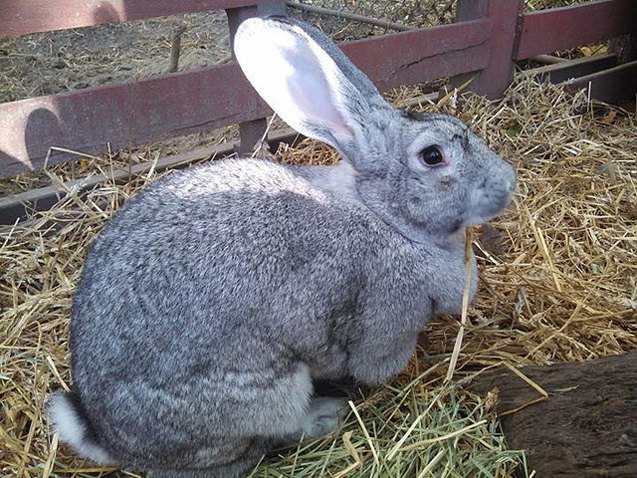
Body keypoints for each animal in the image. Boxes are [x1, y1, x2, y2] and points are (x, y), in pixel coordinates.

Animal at [49, 14, 516, 478]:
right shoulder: (386, 319)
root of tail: (112, 441)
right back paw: (326, 414)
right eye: (433, 156)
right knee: (267, 438)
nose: (507, 182)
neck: (385, 217)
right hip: (269, 394)